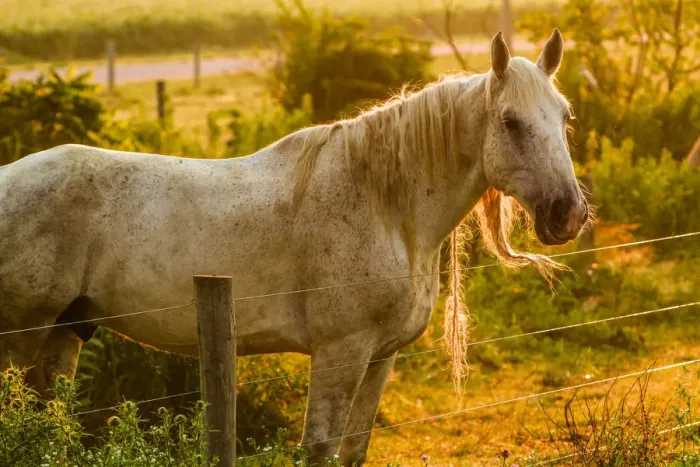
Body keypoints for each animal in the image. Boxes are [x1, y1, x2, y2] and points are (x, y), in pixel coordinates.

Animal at [0, 30, 588, 465]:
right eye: (510, 122)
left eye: (564, 116)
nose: (568, 214)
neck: (385, 207)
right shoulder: (340, 352)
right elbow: (321, 448)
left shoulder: (381, 358)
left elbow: (353, 450)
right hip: (21, 338)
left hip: (65, 332)